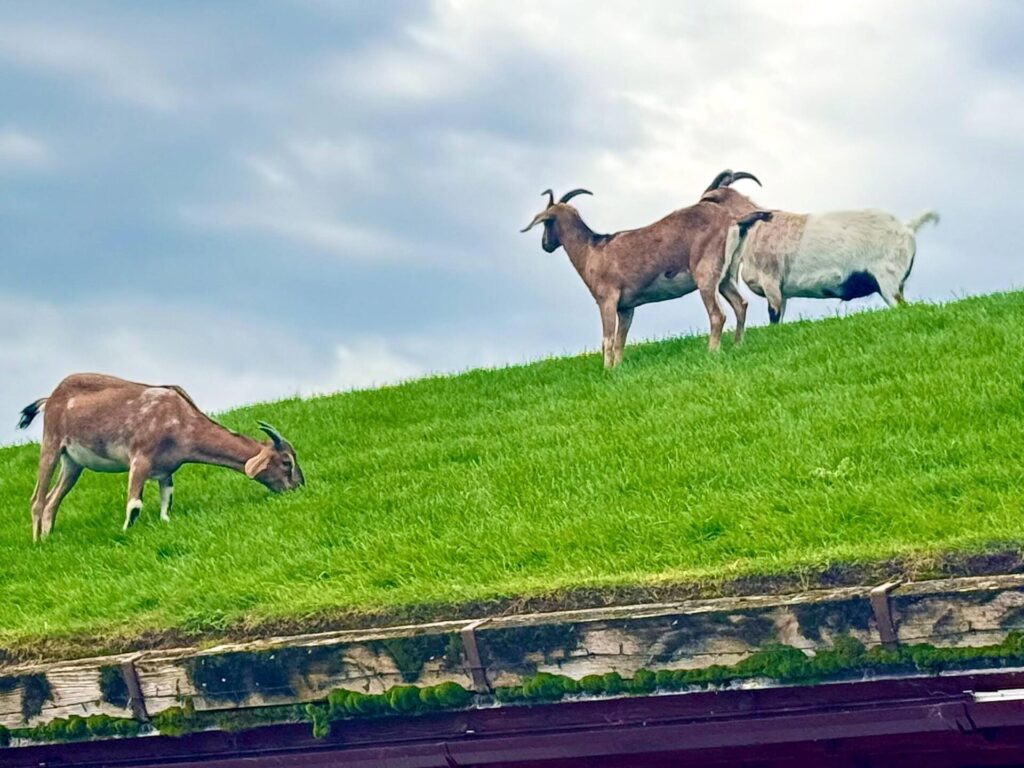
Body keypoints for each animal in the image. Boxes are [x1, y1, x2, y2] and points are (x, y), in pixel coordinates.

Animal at [17, 373, 304, 540]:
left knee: (53, 499)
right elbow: (134, 505)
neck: (180, 420)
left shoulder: (166, 471)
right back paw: (37, 542)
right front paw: (125, 533)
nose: (298, 487)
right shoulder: (140, 458)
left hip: (73, 462)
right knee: (37, 499)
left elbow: (167, 503)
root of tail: (50, 398)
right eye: (286, 462)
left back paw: (48, 537)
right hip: (52, 442)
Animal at [521, 176, 771, 367]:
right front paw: (617, 369)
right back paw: (737, 345)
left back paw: (712, 352)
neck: (591, 250)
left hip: (706, 274)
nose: (545, 245)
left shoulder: (607, 300)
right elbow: (620, 340)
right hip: (726, 276)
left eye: (546, 222)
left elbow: (607, 339)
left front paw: (606, 369)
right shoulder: (626, 308)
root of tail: (733, 219)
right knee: (740, 304)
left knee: (718, 315)